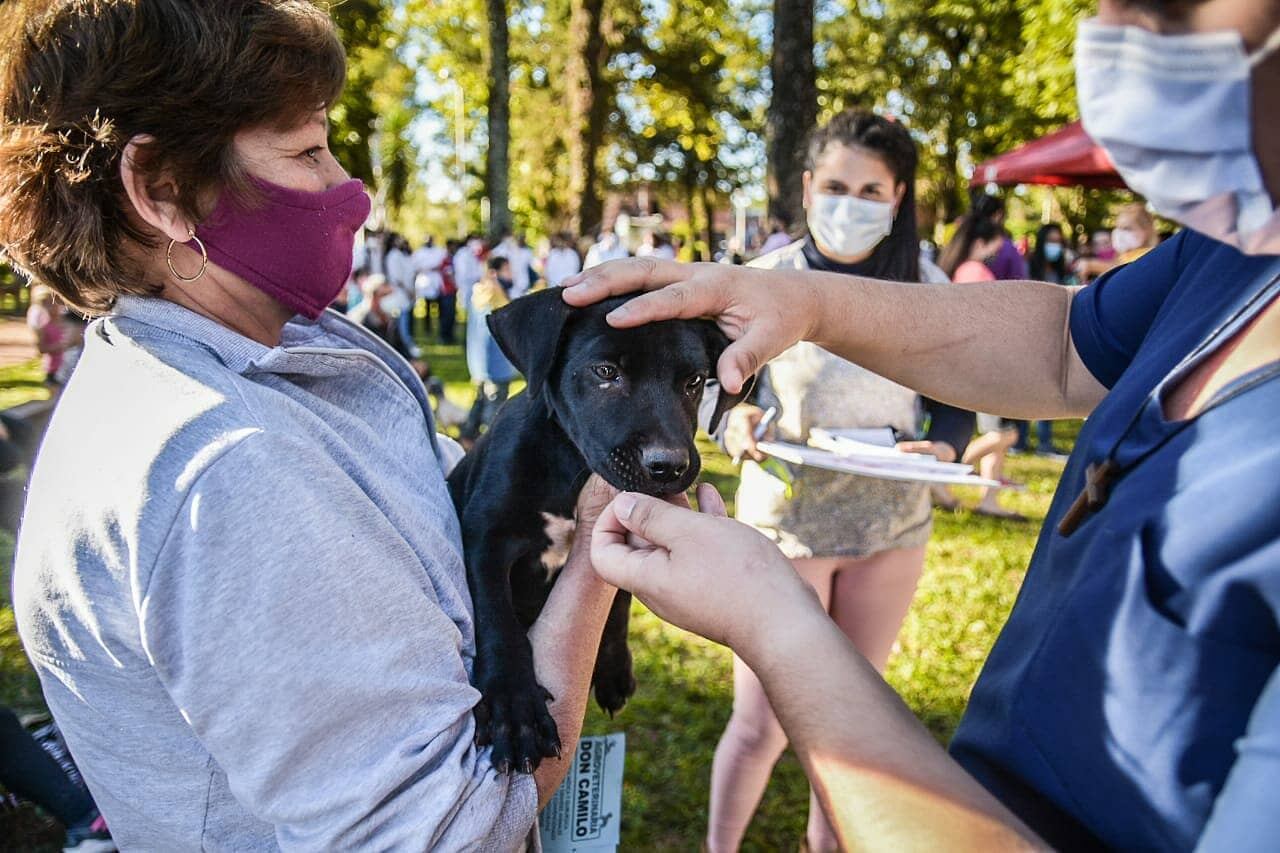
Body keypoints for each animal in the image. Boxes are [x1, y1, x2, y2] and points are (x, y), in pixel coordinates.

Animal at [448, 285, 747, 768]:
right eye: (606, 372)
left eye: (695, 382)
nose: (668, 466)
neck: (570, 465)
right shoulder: (484, 537)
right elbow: (498, 618)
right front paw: (515, 710)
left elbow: (619, 600)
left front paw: (613, 667)